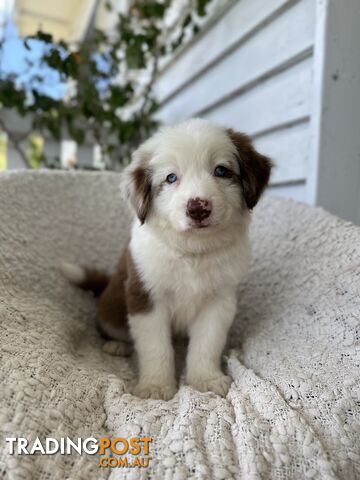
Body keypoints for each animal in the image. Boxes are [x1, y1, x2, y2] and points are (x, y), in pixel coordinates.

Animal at [62, 118, 272, 400]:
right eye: (171, 178)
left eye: (221, 170)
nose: (198, 208)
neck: (192, 251)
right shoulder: (145, 295)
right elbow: (155, 346)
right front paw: (156, 386)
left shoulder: (219, 300)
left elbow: (207, 342)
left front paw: (206, 379)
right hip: (112, 309)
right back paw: (117, 345)